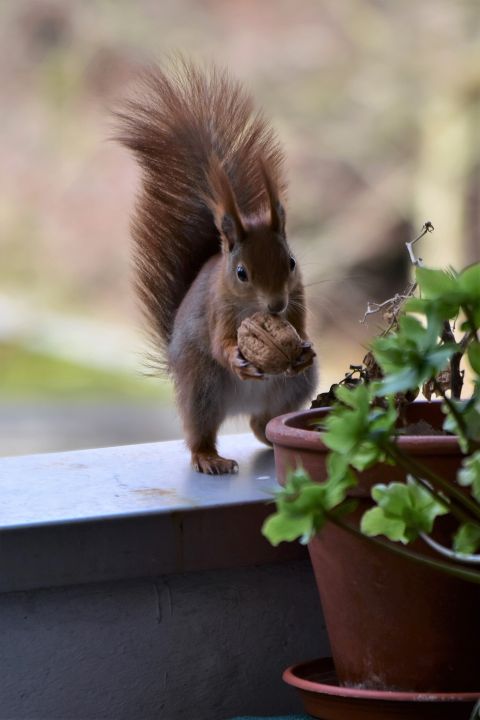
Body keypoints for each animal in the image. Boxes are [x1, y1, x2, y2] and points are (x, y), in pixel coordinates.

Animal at [115, 62, 318, 472]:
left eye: (291, 263)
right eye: (241, 273)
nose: (276, 305)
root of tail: (243, 404)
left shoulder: (298, 300)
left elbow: (300, 328)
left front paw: (304, 347)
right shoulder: (217, 310)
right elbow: (220, 342)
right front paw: (236, 356)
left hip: (293, 387)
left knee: (262, 423)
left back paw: (270, 435)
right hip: (201, 388)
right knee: (200, 433)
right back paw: (209, 458)